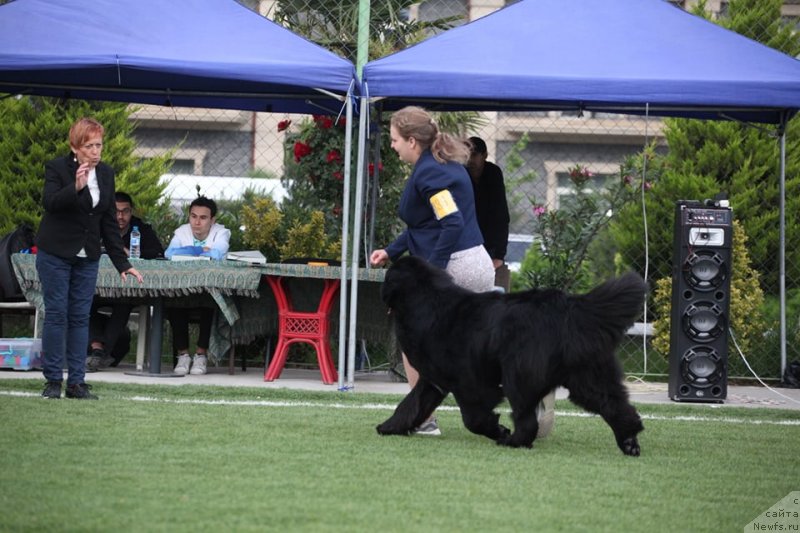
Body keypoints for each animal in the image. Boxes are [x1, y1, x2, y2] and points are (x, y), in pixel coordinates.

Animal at [378, 256, 648, 456]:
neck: (427, 305)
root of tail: (567, 308)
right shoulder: (434, 380)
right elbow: (410, 404)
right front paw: (389, 426)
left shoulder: (470, 383)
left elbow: (473, 419)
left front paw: (499, 430)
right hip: (587, 377)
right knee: (613, 404)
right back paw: (629, 442)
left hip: (518, 376)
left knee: (527, 419)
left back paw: (513, 441)